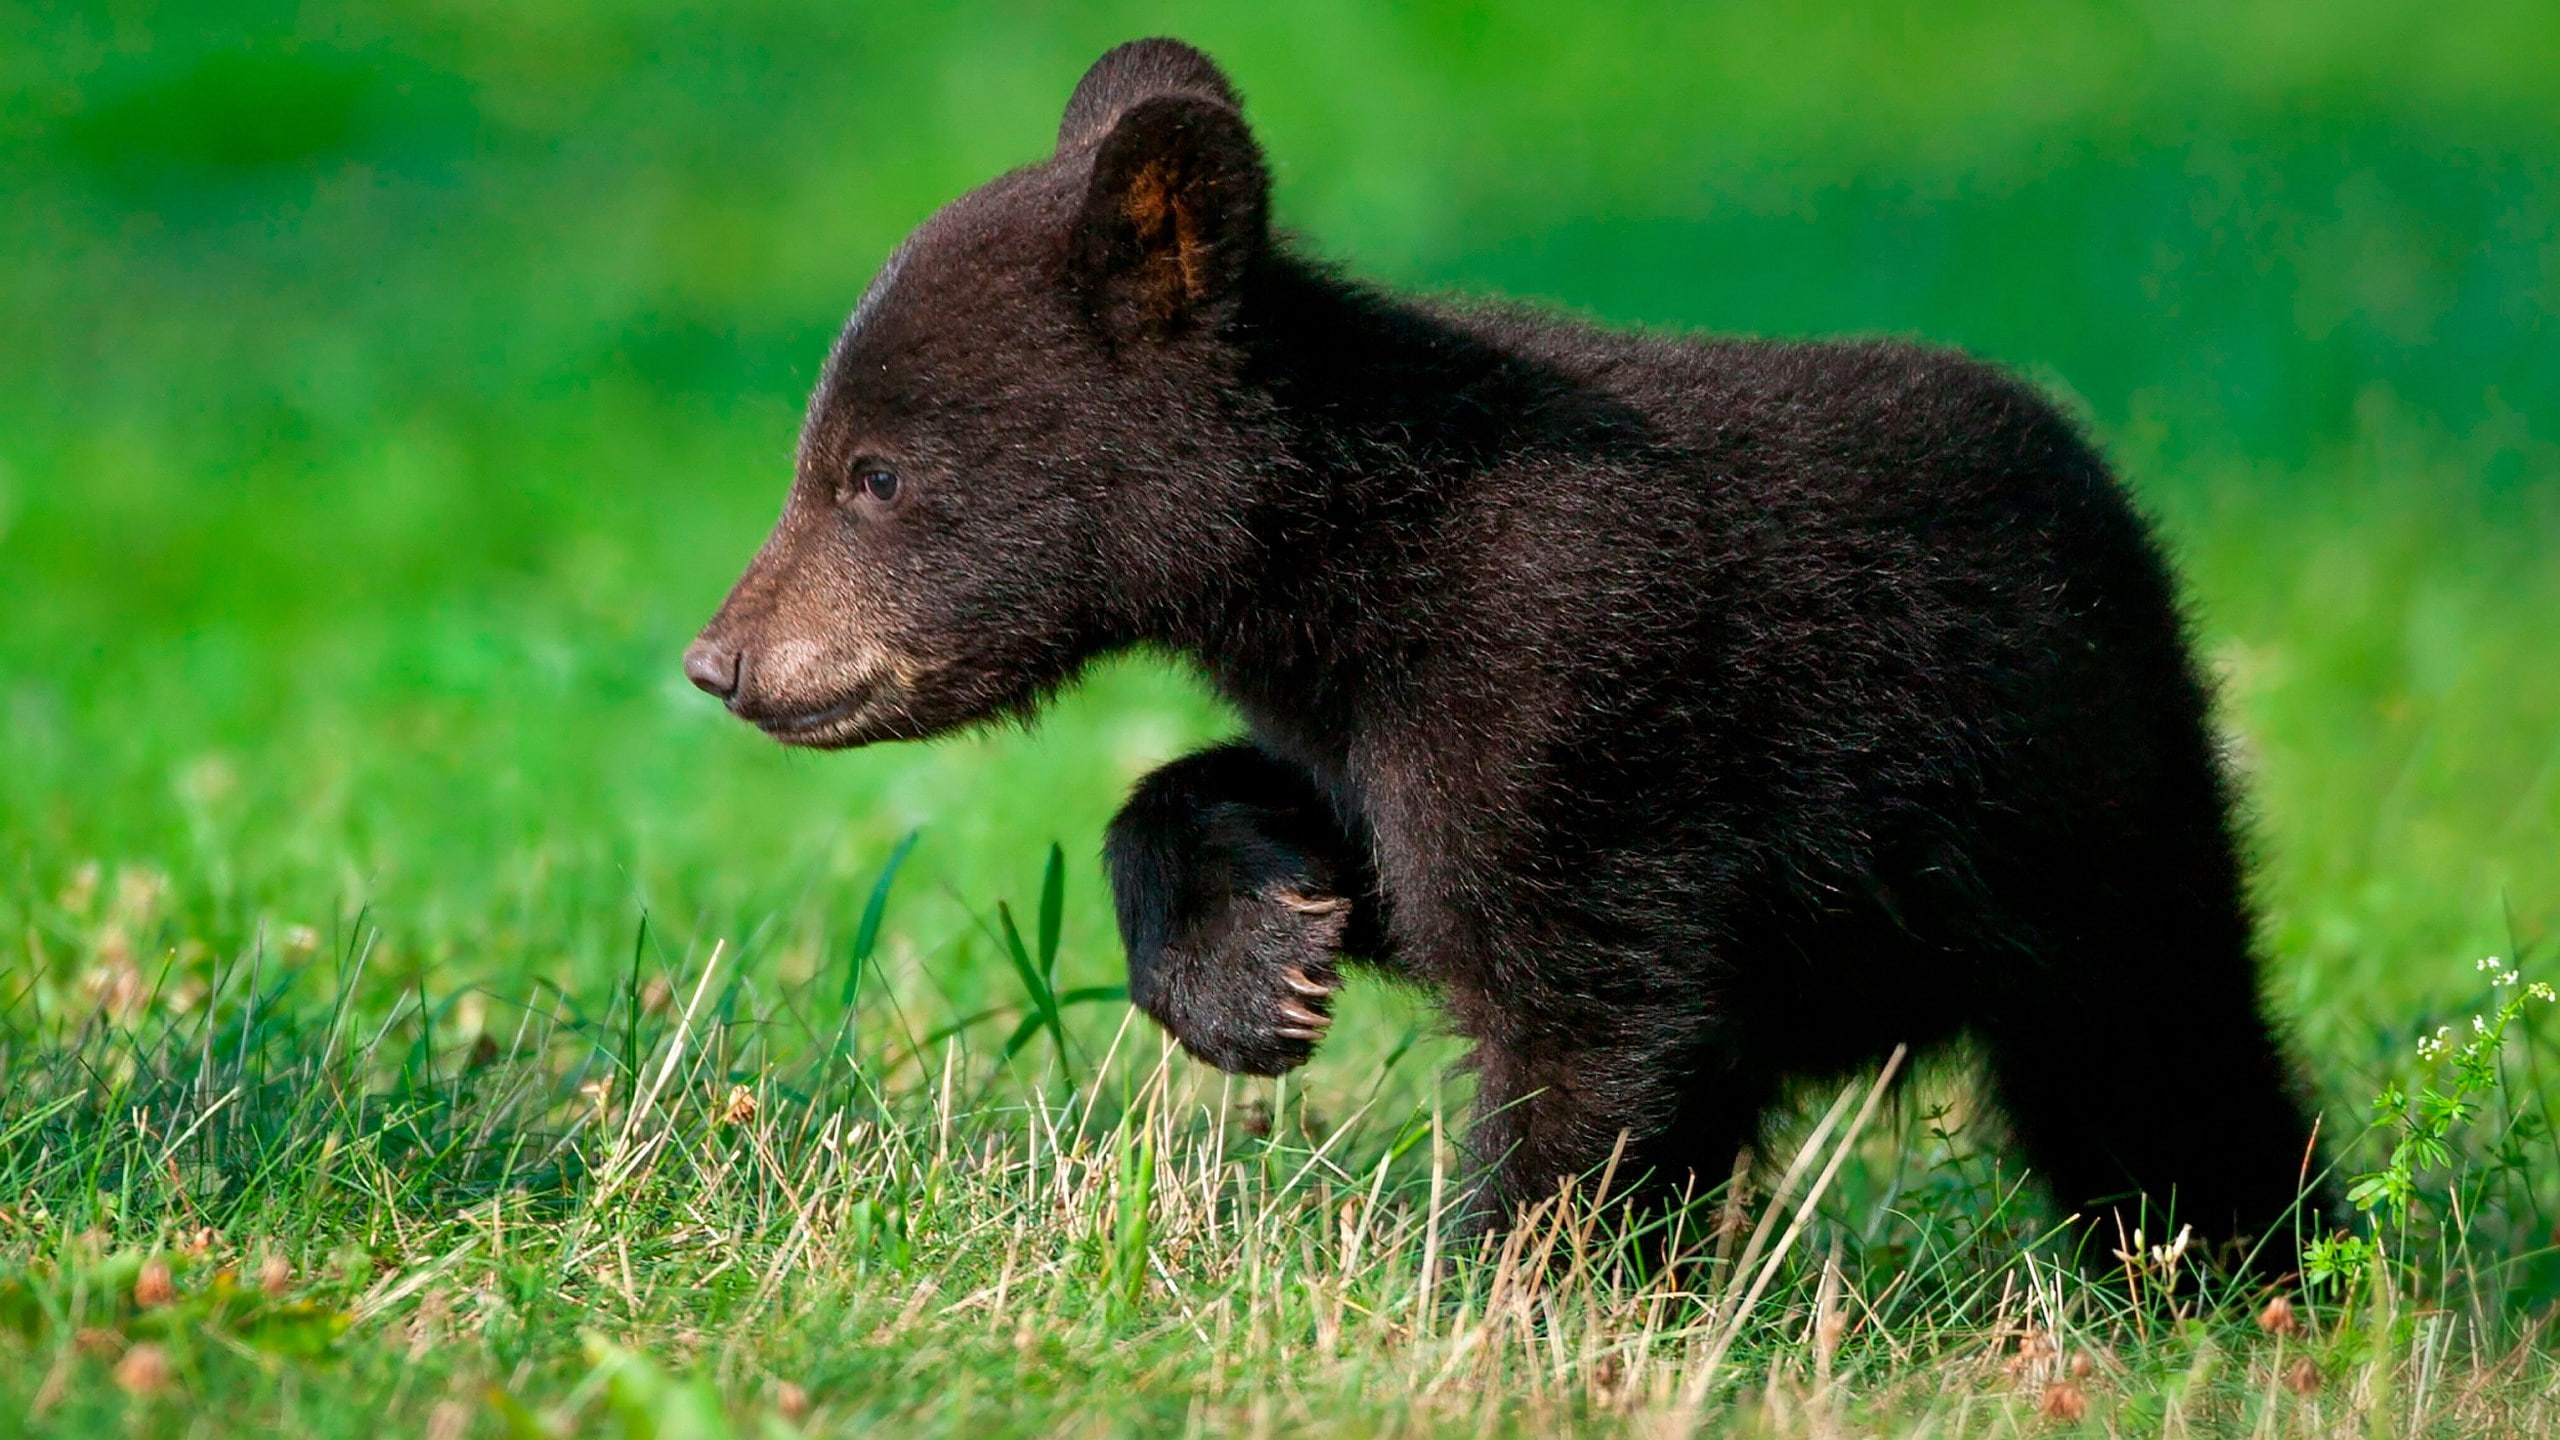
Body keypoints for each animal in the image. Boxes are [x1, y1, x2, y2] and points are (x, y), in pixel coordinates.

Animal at [684, 37, 2328, 1269]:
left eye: (872, 473)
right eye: (831, 455)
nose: (722, 659)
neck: (1359, 553)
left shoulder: (1571, 687)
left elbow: (1583, 1012)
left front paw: (1503, 1293)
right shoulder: (1382, 712)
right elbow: (1363, 858)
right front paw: (1252, 960)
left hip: (2086, 812)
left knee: (2163, 1069)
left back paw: (2257, 1276)